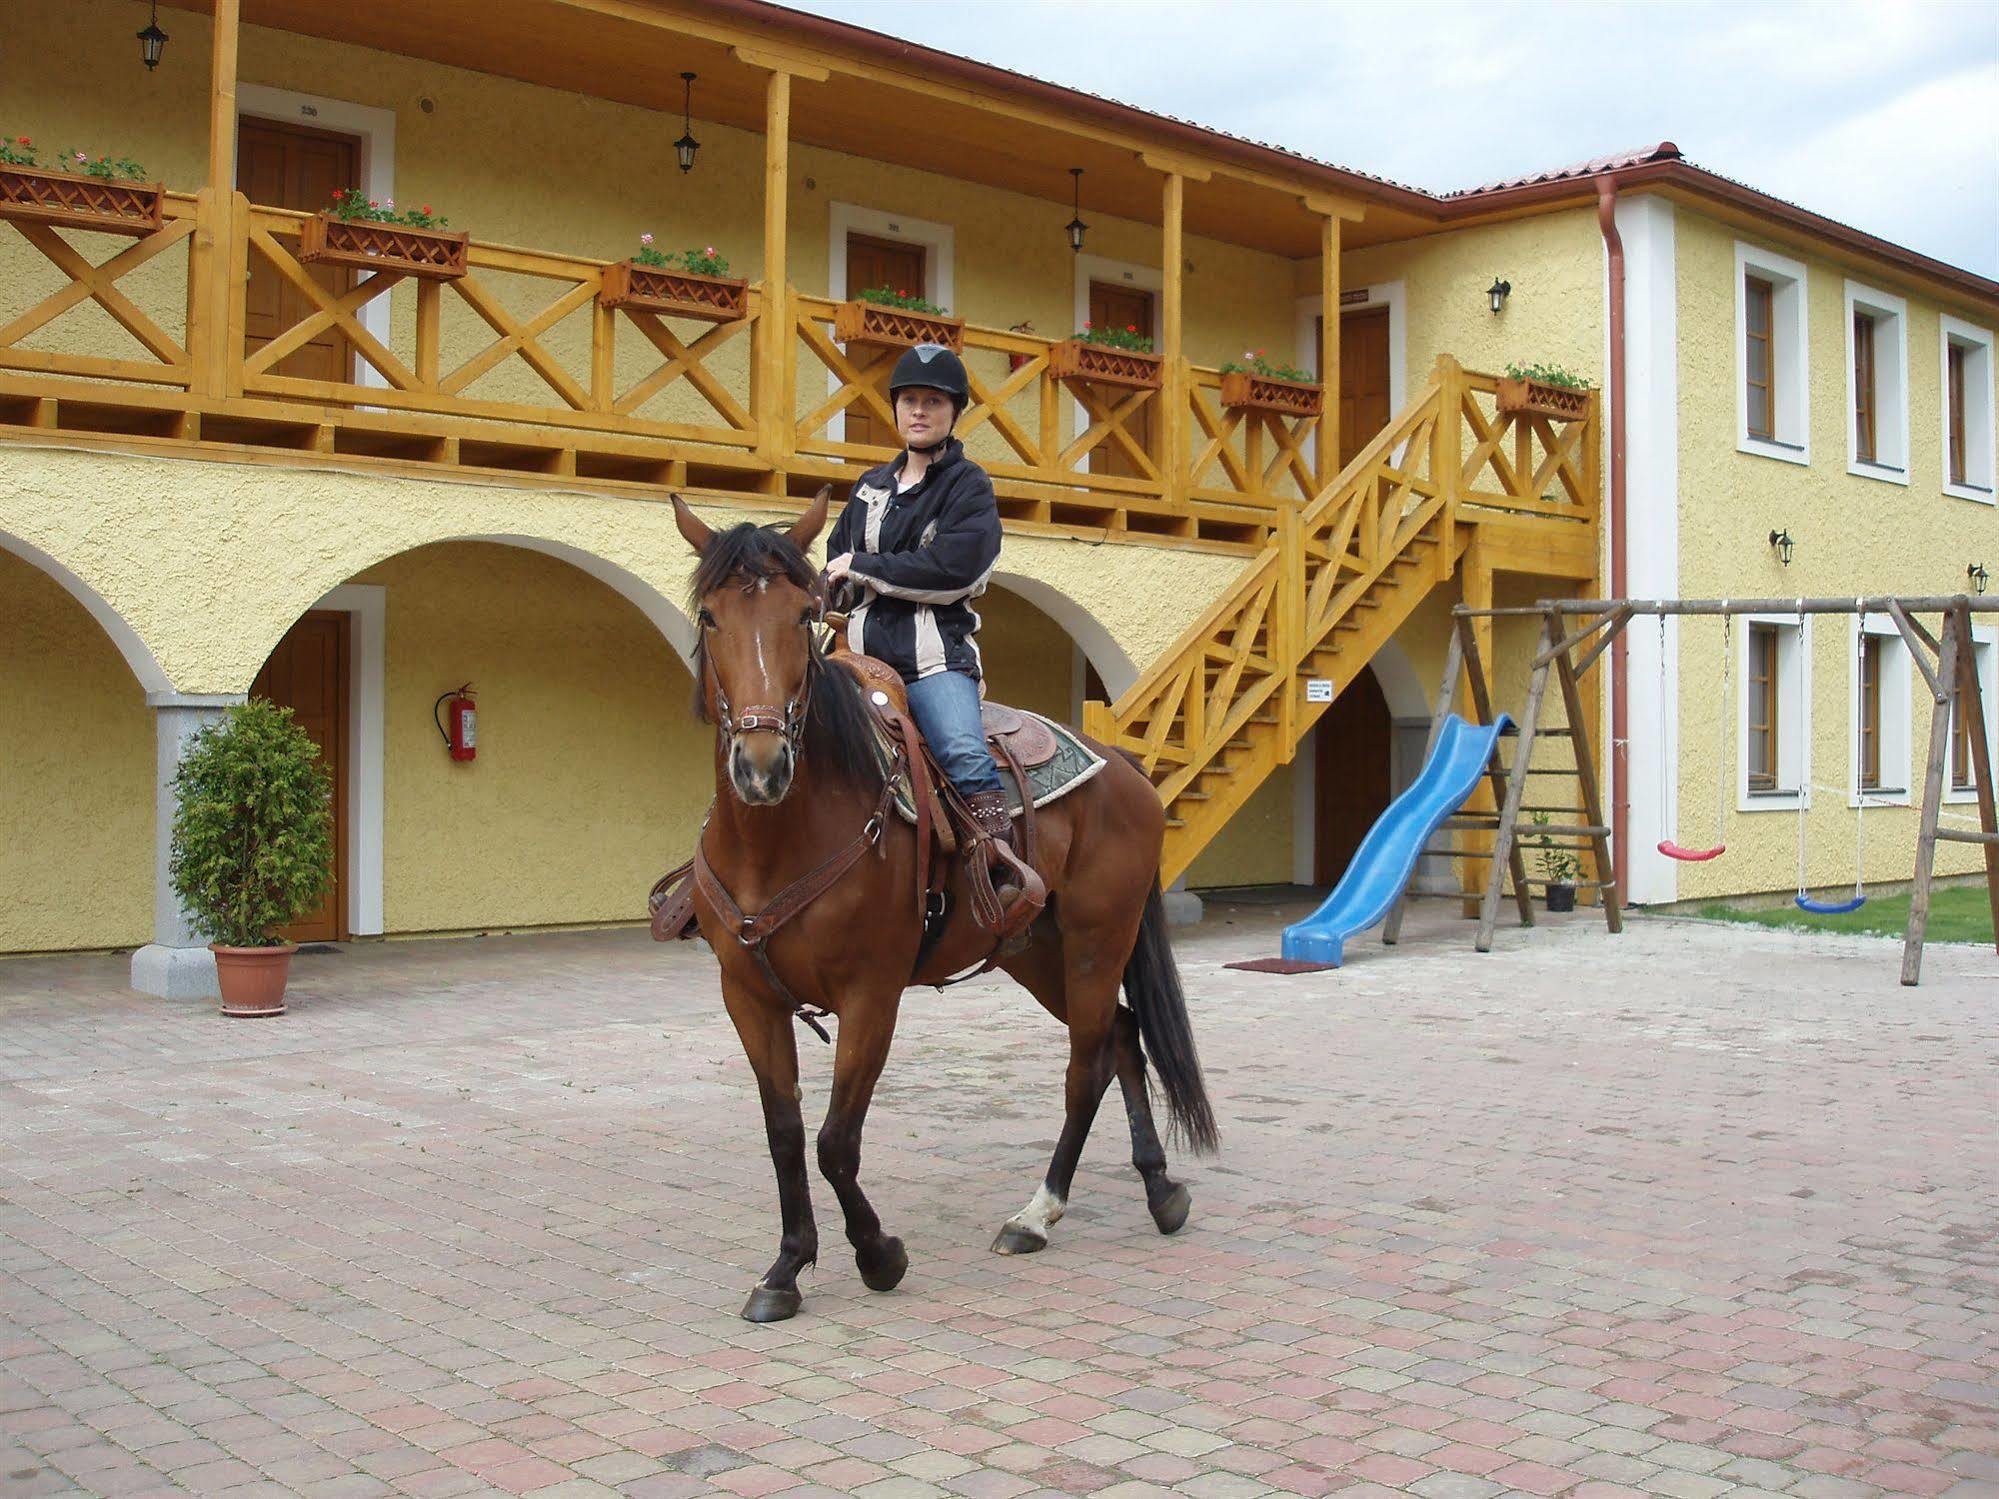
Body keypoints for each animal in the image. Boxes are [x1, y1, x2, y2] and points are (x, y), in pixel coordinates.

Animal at [667, 495, 1215, 1327]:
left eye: (801, 614)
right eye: (709, 616)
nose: (761, 767)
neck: (780, 840)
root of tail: (1123, 767)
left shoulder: (871, 993)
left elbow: (835, 1140)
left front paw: (878, 1254)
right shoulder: (748, 997)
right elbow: (785, 1133)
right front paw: (786, 1267)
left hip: (1098, 939)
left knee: (1087, 1062)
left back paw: (1036, 1213)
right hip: (1035, 951)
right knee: (1122, 1037)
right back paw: (1157, 1190)